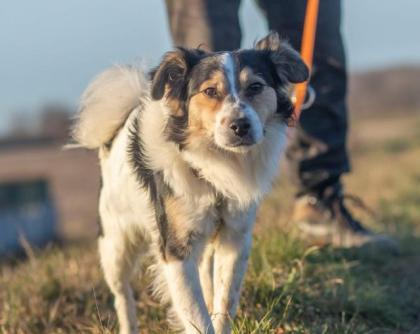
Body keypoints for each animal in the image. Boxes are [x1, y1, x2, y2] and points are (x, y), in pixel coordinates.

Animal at [72, 32, 308, 334]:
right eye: (210, 92)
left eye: (255, 87)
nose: (240, 126)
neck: (215, 167)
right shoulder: (176, 250)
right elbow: (197, 317)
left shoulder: (235, 237)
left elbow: (225, 301)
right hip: (116, 242)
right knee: (122, 293)